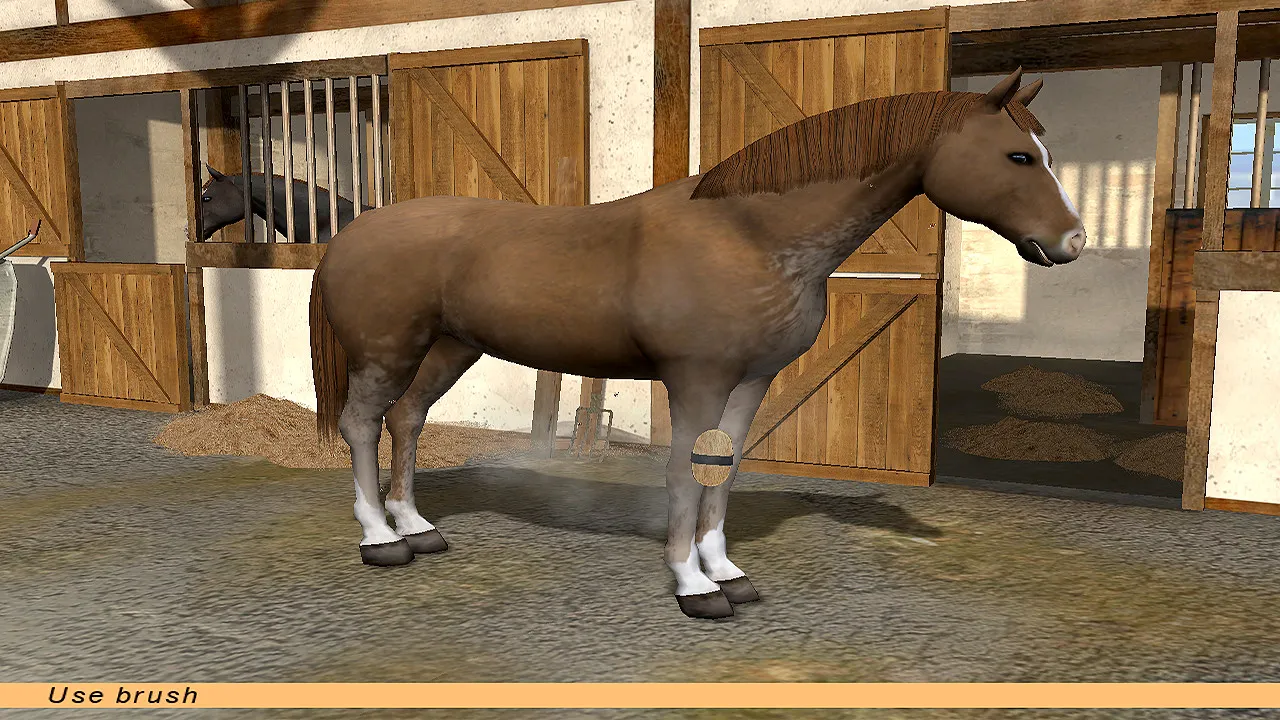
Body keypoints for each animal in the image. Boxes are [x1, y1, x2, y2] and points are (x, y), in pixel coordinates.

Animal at [308, 68, 1086, 620]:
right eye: (1019, 156)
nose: (1073, 243)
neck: (753, 235)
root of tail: (352, 231)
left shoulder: (751, 380)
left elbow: (723, 467)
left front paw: (728, 574)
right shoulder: (696, 378)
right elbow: (685, 471)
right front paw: (692, 585)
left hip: (449, 348)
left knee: (407, 418)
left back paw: (419, 528)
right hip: (388, 349)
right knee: (362, 422)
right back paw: (380, 539)